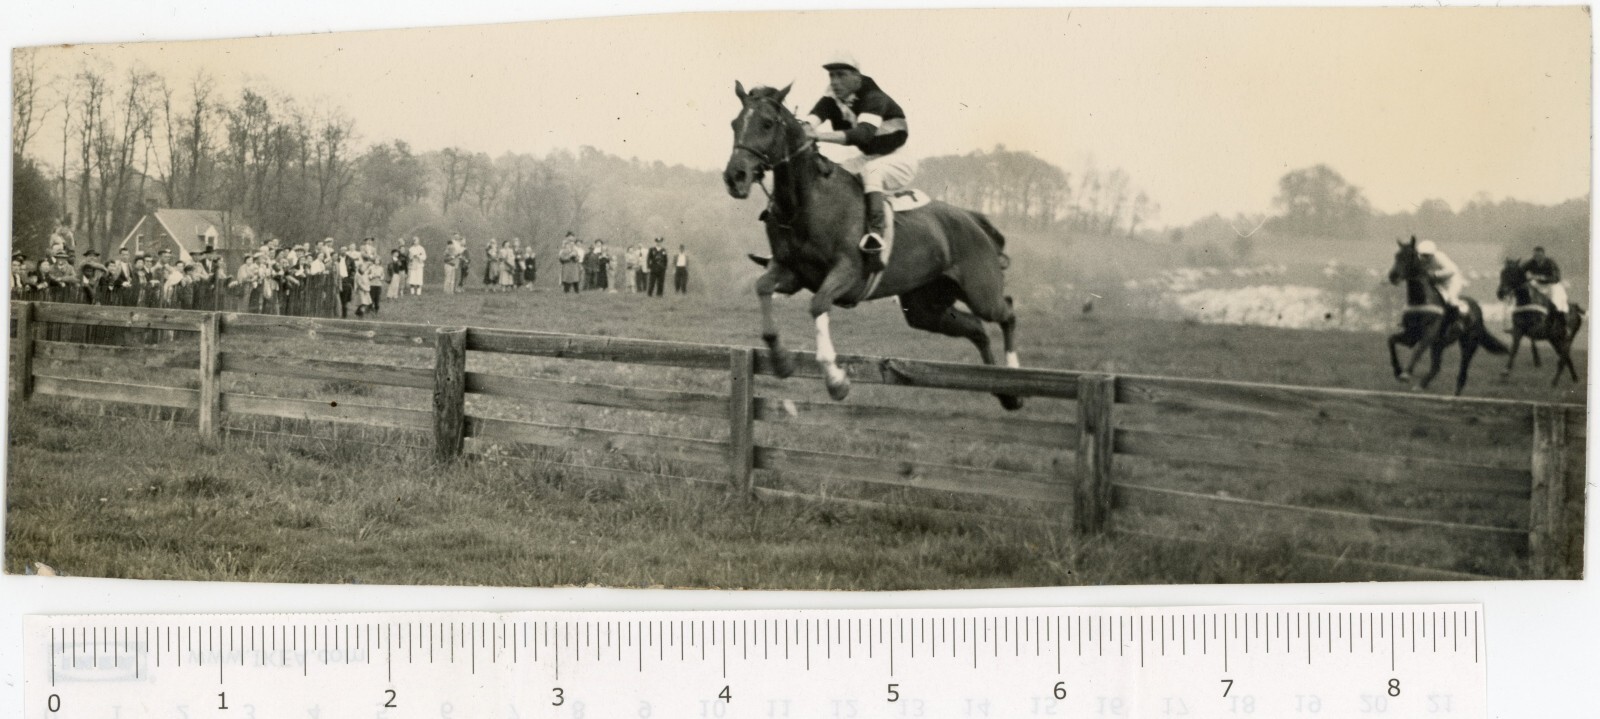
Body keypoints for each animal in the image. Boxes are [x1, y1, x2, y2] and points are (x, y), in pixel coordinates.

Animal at [722, 82, 1023, 410]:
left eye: (766, 123)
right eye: (734, 124)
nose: (735, 177)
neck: (806, 201)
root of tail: (972, 218)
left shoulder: (847, 272)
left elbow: (818, 305)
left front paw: (836, 381)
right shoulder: (792, 273)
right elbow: (763, 287)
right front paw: (781, 361)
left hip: (981, 291)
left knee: (1006, 312)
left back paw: (1015, 377)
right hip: (926, 307)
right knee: (977, 329)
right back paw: (1005, 391)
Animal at [1385, 237, 1507, 395]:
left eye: (1410, 256)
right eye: (1396, 255)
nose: (1393, 276)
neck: (1421, 300)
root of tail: (1478, 309)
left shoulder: (1428, 335)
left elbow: (1418, 350)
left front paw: (1405, 373)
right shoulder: (1411, 336)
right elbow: (1391, 340)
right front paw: (1398, 370)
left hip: (1468, 345)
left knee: (1462, 374)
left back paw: (1453, 394)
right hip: (1439, 344)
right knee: (1436, 367)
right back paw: (1421, 385)